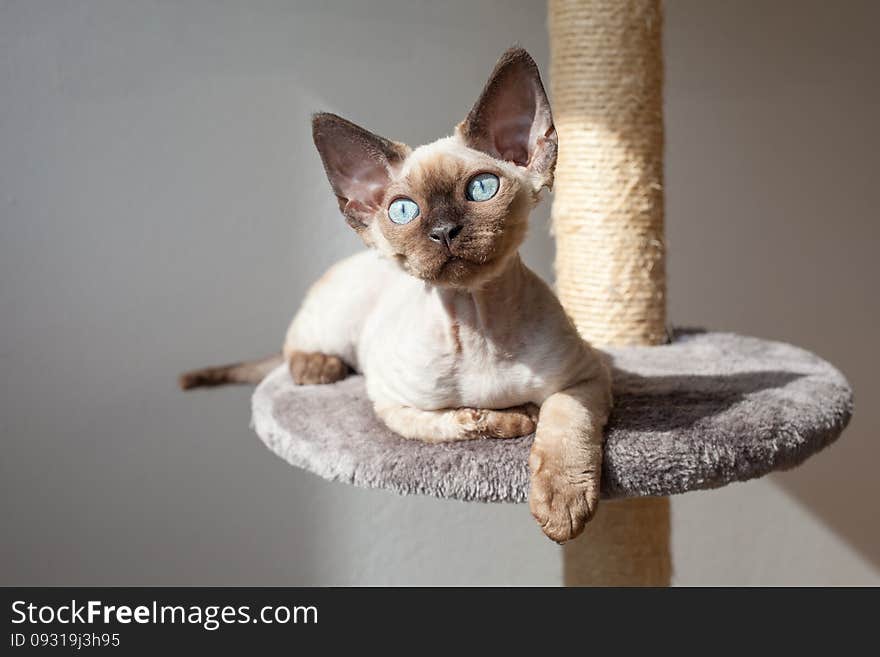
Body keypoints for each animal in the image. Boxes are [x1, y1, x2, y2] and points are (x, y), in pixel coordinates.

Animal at [180, 44, 612, 540]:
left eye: (482, 188)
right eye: (404, 211)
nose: (444, 231)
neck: (477, 324)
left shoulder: (586, 377)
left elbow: (565, 425)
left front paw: (562, 504)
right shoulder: (390, 400)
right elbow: (459, 420)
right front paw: (515, 419)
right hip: (335, 320)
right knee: (294, 346)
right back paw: (317, 367)